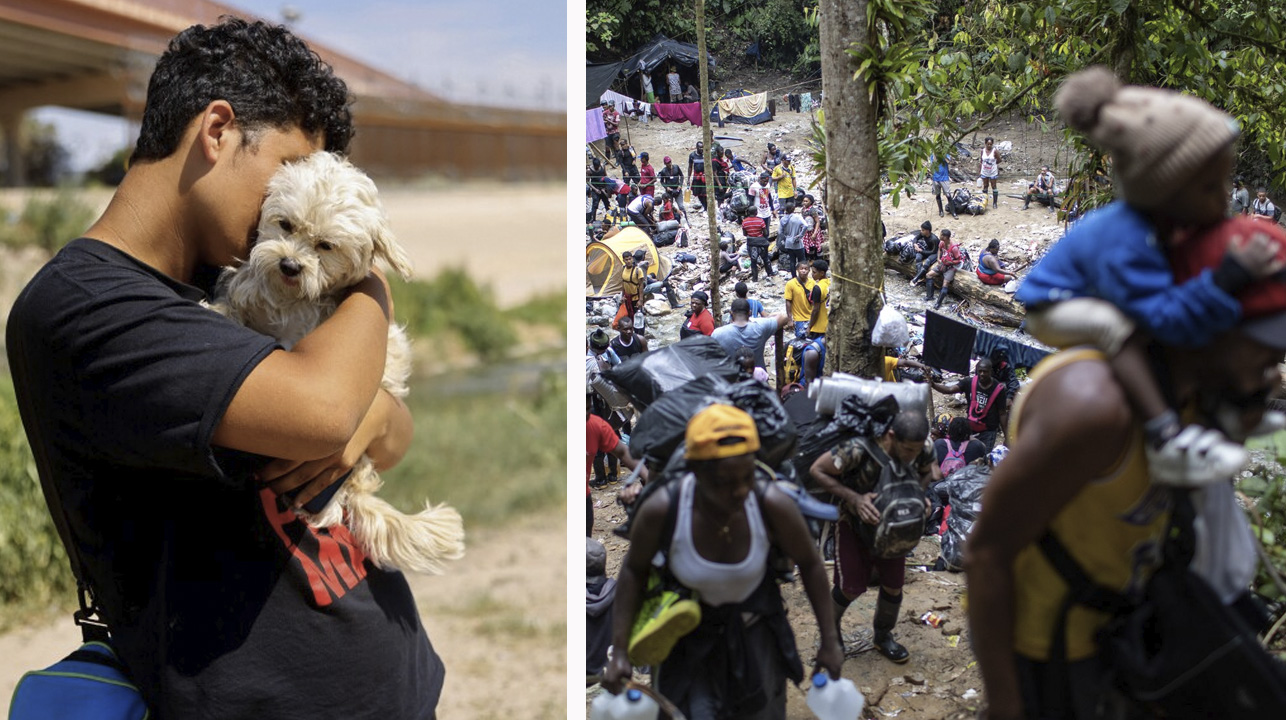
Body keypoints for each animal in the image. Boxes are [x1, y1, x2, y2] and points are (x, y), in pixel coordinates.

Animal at [210, 151, 468, 573]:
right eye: (285, 224)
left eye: (326, 245)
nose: (290, 265)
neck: (292, 300)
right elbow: (241, 296)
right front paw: (217, 308)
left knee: (334, 506)